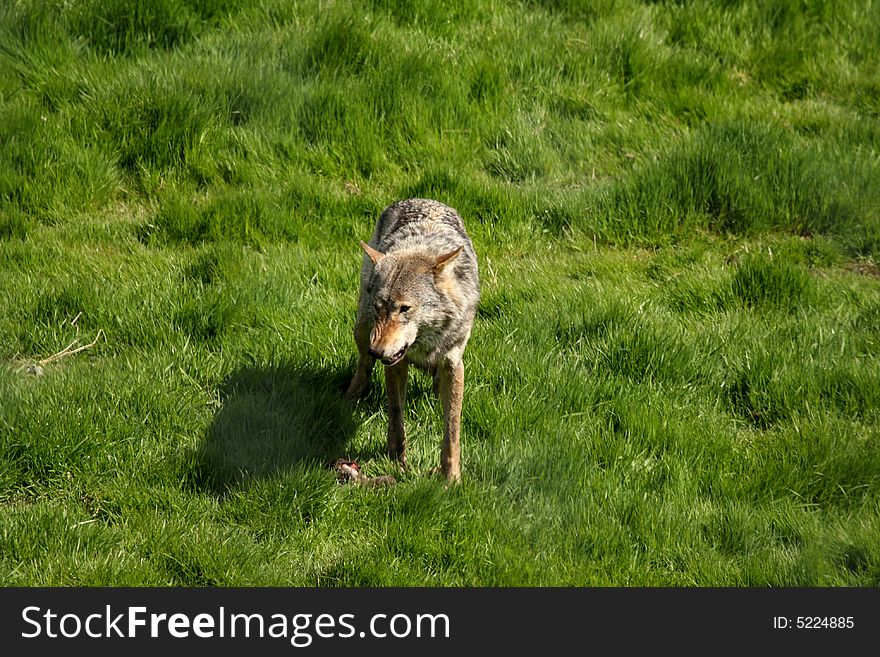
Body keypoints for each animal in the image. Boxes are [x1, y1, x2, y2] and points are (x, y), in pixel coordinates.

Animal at [346, 197, 482, 480]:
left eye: (404, 308)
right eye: (379, 307)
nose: (378, 351)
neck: (424, 345)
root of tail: (419, 199)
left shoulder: (454, 364)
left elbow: (452, 428)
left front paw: (451, 477)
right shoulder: (395, 362)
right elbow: (396, 413)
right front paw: (398, 461)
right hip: (362, 330)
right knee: (363, 366)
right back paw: (349, 398)